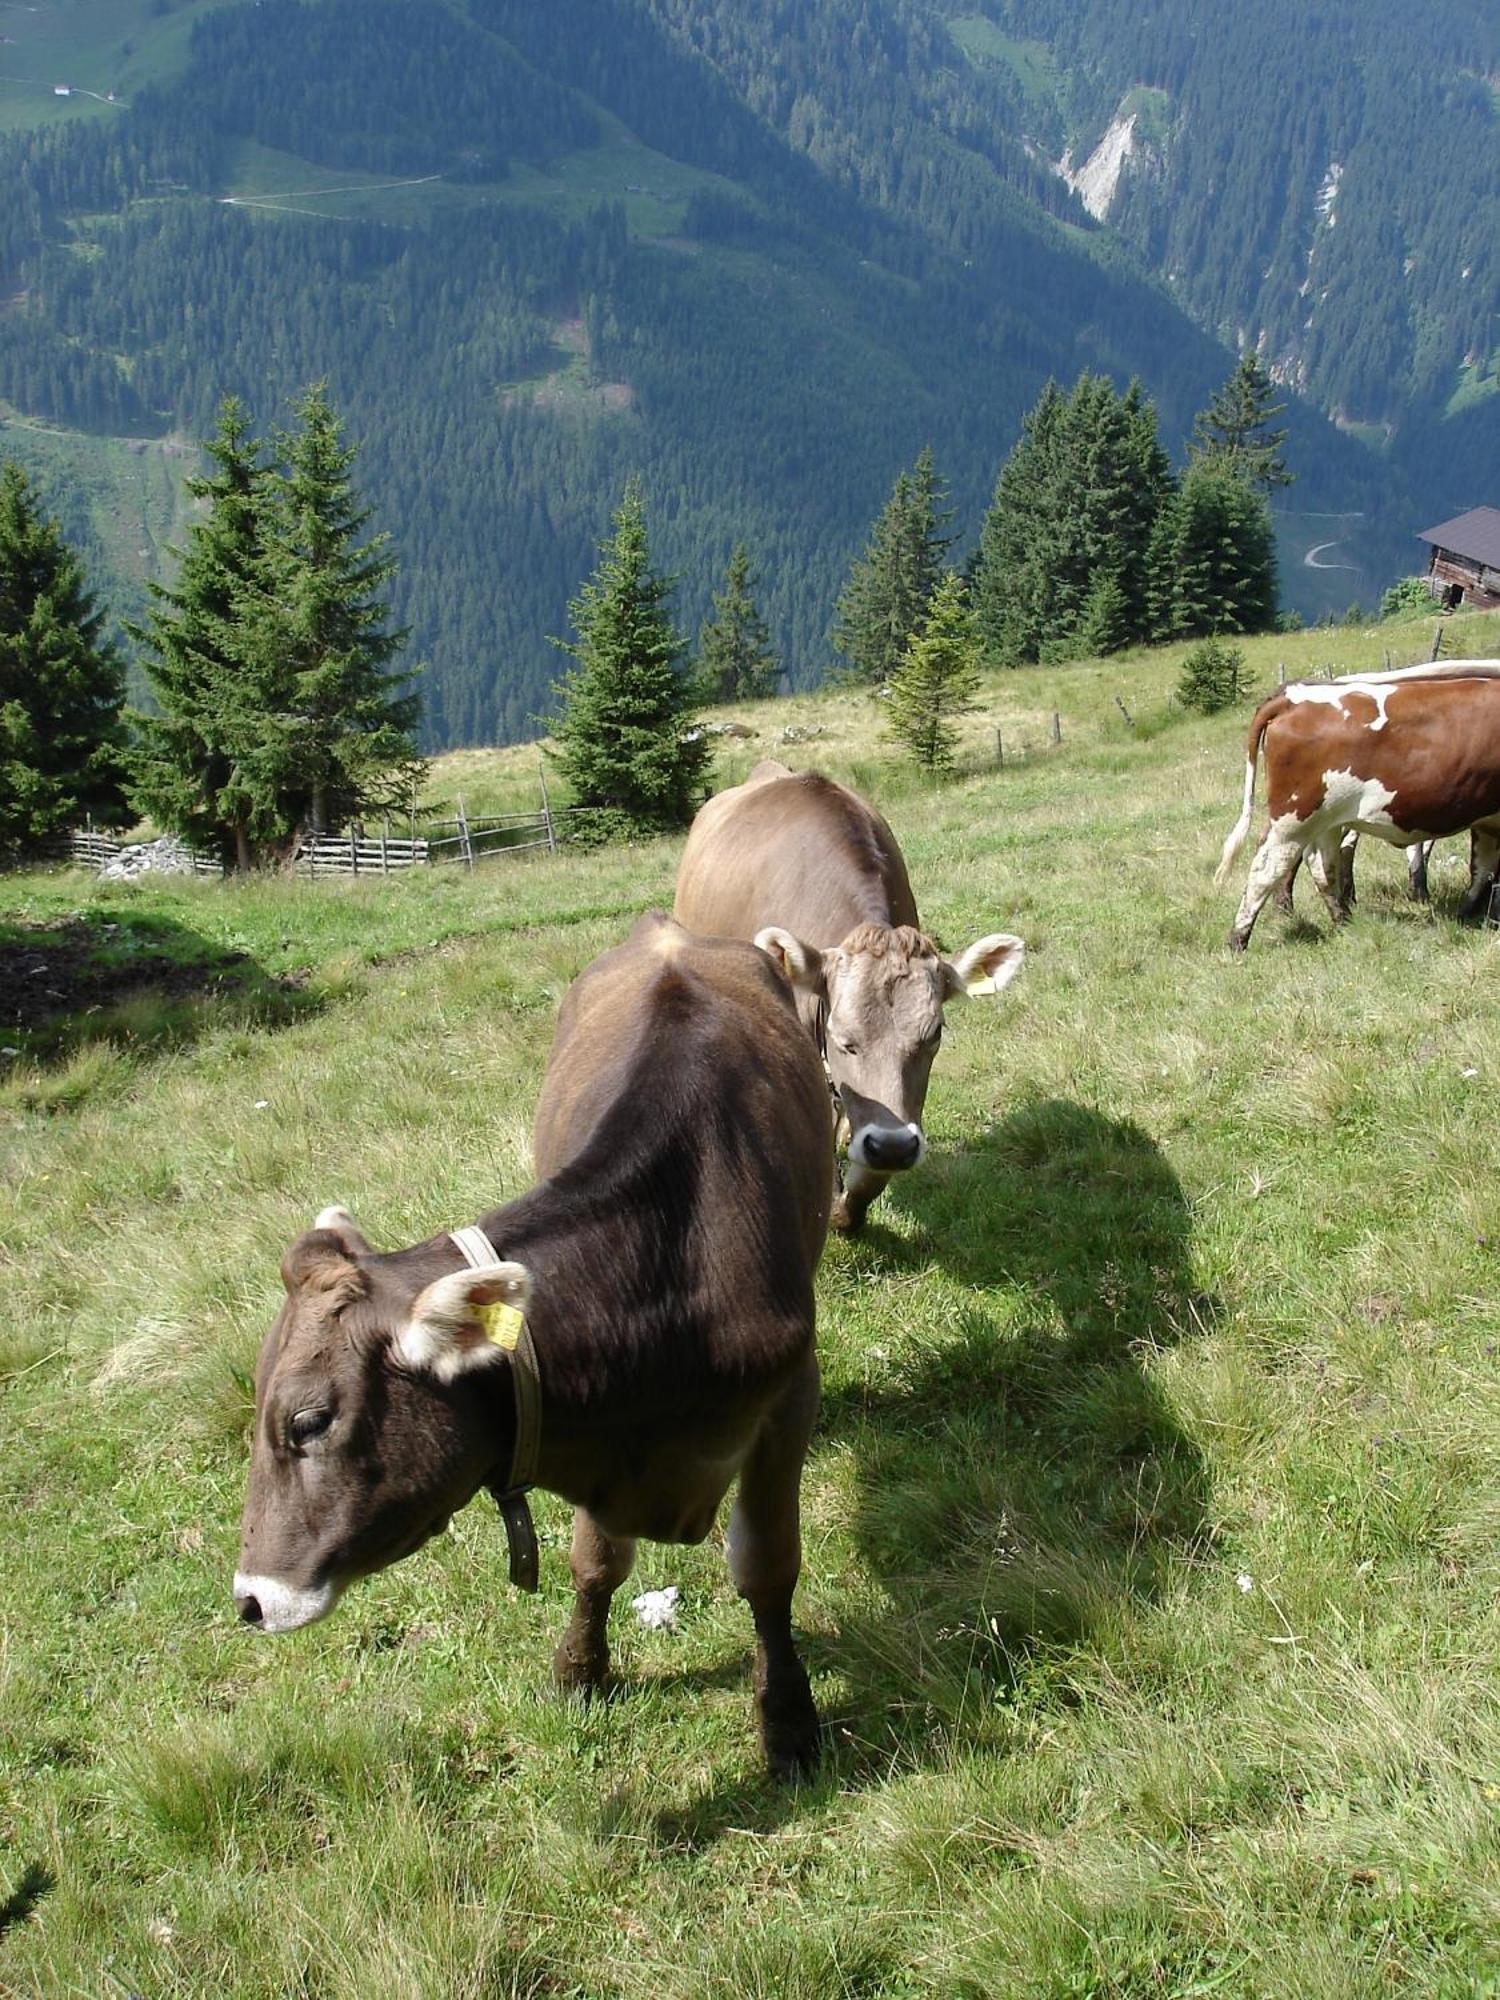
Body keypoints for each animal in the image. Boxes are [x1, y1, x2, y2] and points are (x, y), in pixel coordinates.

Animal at [241, 916, 840, 1776]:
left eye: (310, 1422)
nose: (251, 1599)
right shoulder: (589, 1434)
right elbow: (596, 1564)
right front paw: (581, 1670)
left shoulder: (788, 1399)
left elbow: (765, 1567)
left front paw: (789, 1721)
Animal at [1216, 648, 1500, 944]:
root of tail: (1291, 698)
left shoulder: (1488, 822)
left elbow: (1483, 868)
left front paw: (1470, 914)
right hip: (1293, 820)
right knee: (1266, 869)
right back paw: (1239, 939)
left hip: (1324, 821)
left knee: (1322, 866)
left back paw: (1343, 921)